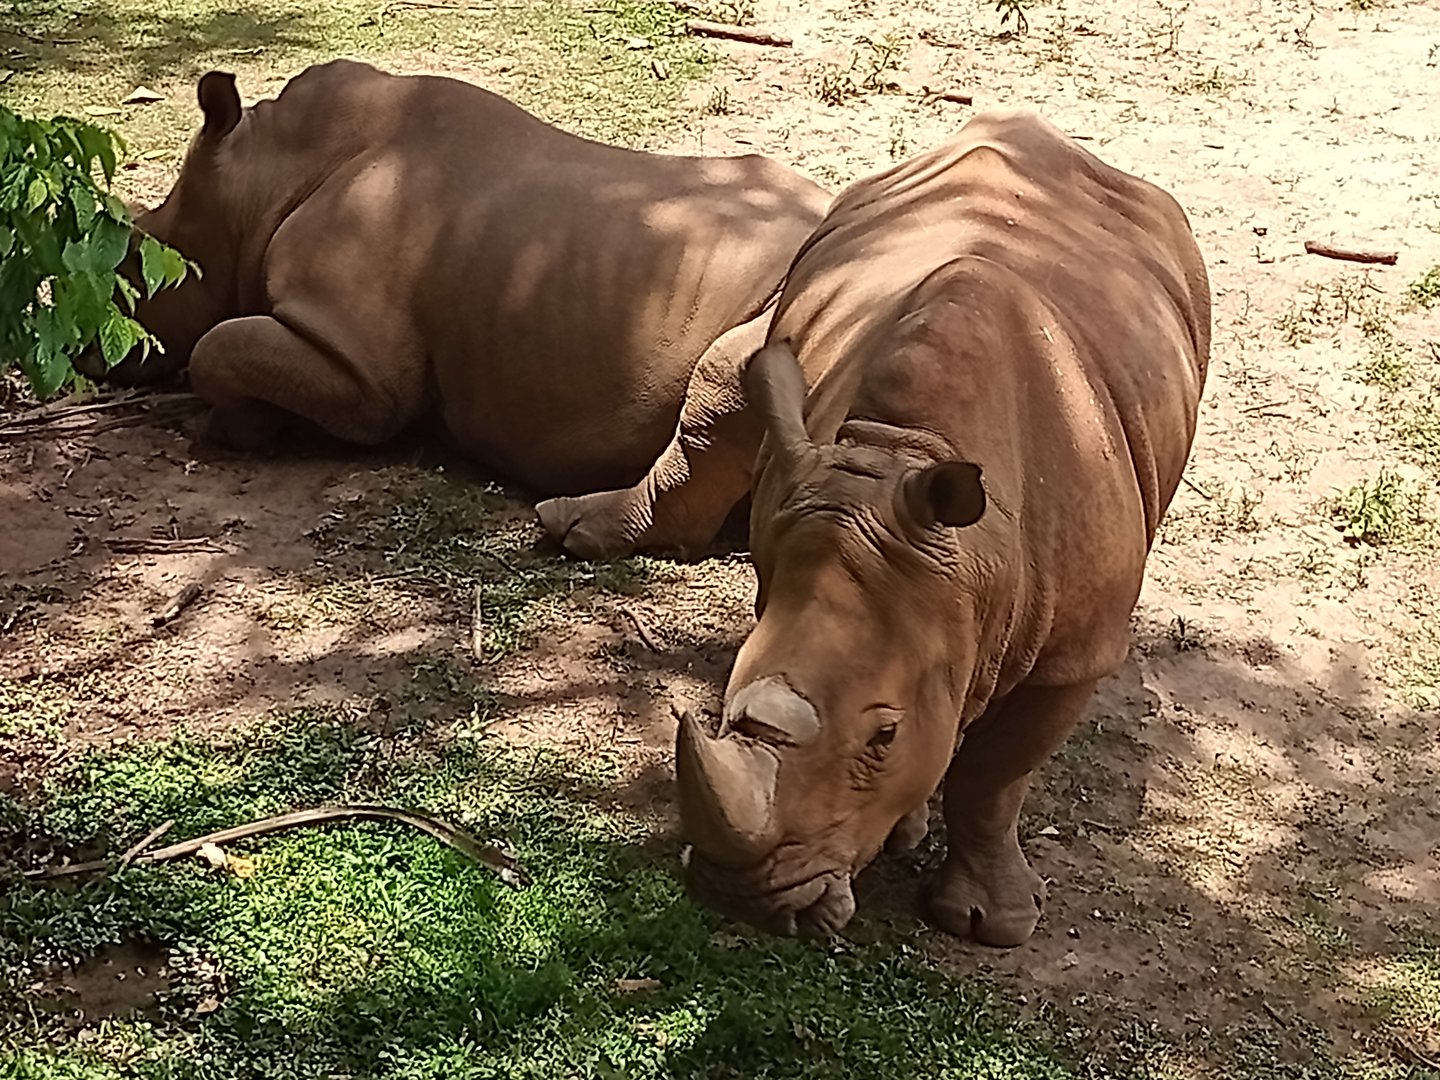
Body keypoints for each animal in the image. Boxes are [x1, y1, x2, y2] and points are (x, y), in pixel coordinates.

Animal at [81, 60, 829, 560]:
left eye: (134, 264)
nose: (89, 357)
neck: (260, 176)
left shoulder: (363, 372)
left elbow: (218, 346)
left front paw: (226, 428)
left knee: (726, 373)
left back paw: (567, 526)